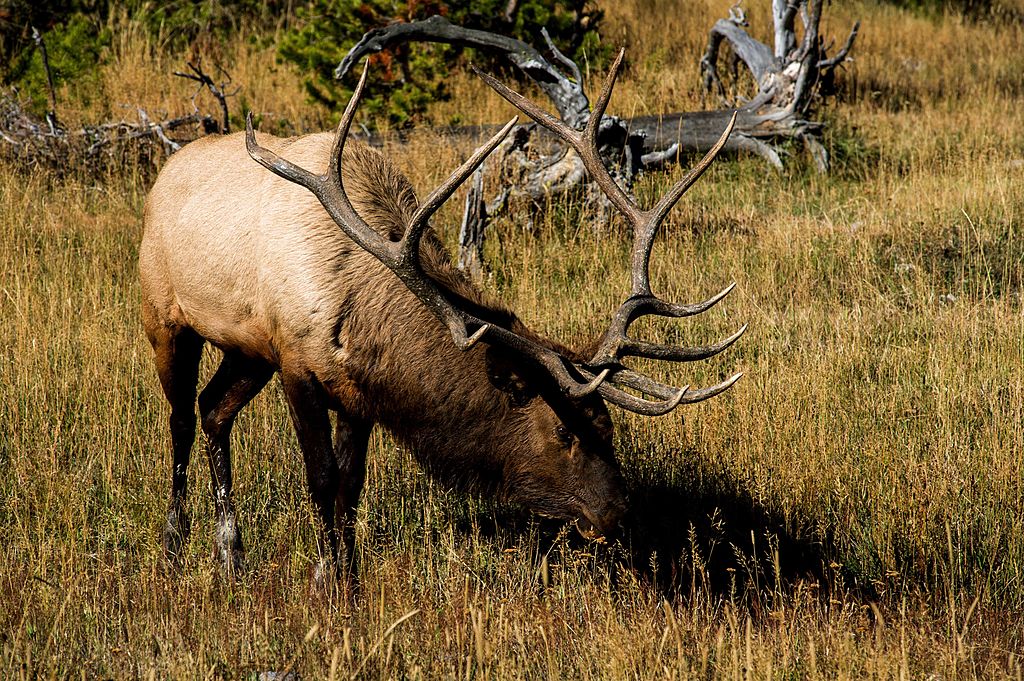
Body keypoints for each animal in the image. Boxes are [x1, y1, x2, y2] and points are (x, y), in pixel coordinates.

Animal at [138, 50, 745, 581]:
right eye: (561, 431)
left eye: (608, 425)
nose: (619, 513)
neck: (360, 310)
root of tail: (164, 172)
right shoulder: (296, 364)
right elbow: (321, 478)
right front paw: (328, 582)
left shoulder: (355, 392)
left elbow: (350, 487)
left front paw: (345, 578)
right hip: (165, 317)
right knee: (181, 419)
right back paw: (173, 544)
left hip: (246, 350)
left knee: (214, 409)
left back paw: (231, 553)